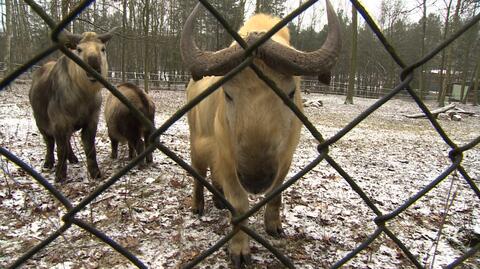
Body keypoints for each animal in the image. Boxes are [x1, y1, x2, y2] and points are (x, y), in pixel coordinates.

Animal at [30, 29, 116, 182]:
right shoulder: (59, 122)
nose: (94, 66)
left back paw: (73, 158)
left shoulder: (91, 120)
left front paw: (95, 173)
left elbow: (90, 149)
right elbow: (60, 149)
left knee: (67, 140)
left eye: (103, 49)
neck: (82, 95)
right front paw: (60, 175)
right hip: (40, 121)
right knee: (49, 142)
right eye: (79, 49)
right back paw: (48, 162)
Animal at [180, 0, 342, 266]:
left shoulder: (285, 157)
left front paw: (273, 225)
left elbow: (276, 192)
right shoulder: (228, 158)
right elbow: (239, 204)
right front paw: (239, 250)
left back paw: (218, 200)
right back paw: (198, 205)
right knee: (199, 173)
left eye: (290, 93)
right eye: (228, 93)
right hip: (197, 141)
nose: (256, 181)